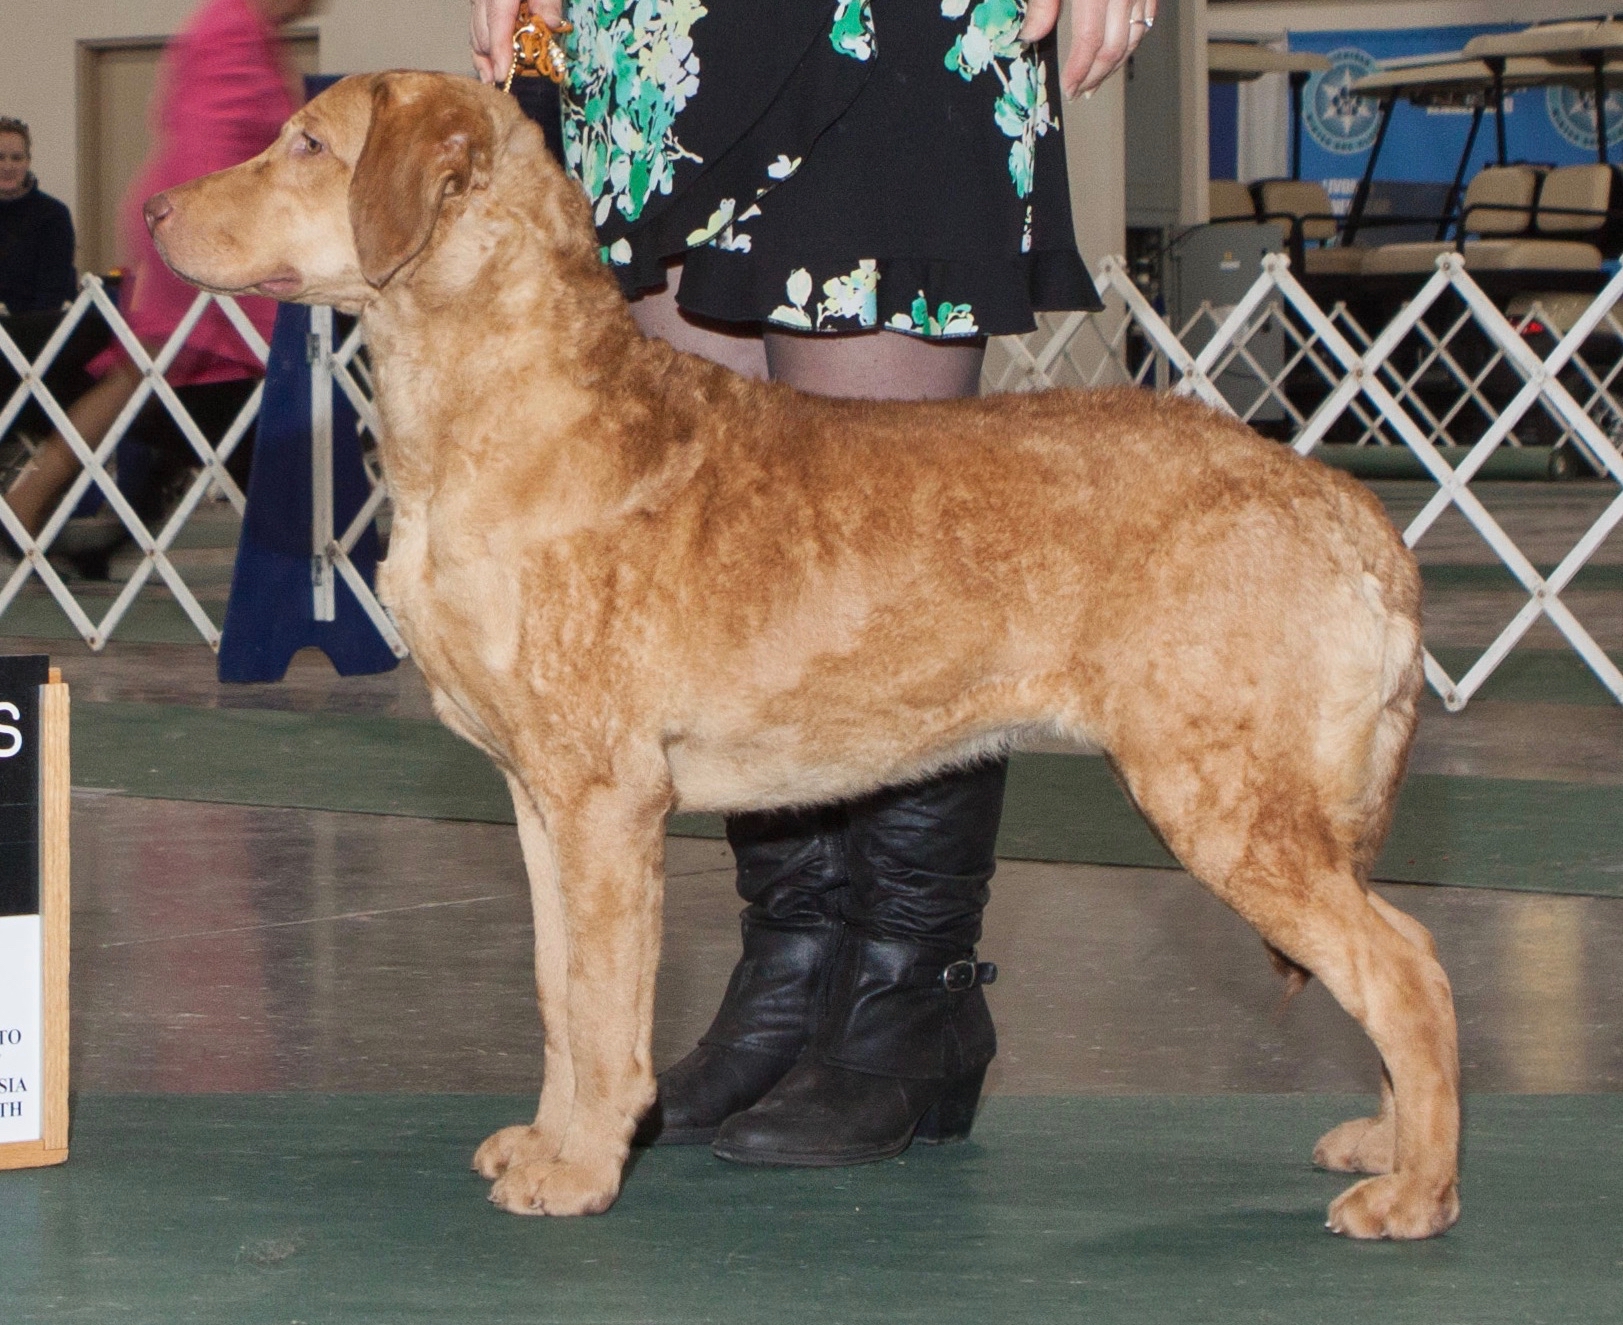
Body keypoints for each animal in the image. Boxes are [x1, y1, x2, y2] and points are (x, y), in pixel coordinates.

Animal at [146, 69, 1467, 1234]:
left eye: (306, 144)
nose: (153, 212)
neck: (508, 411)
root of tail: (1347, 505)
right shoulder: (539, 797)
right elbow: (557, 992)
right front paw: (546, 1140)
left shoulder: (606, 799)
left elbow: (605, 1004)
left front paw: (582, 1169)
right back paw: (1387, 1139)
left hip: (1224, 793)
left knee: (1409, 964)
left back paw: (1416, 1192)